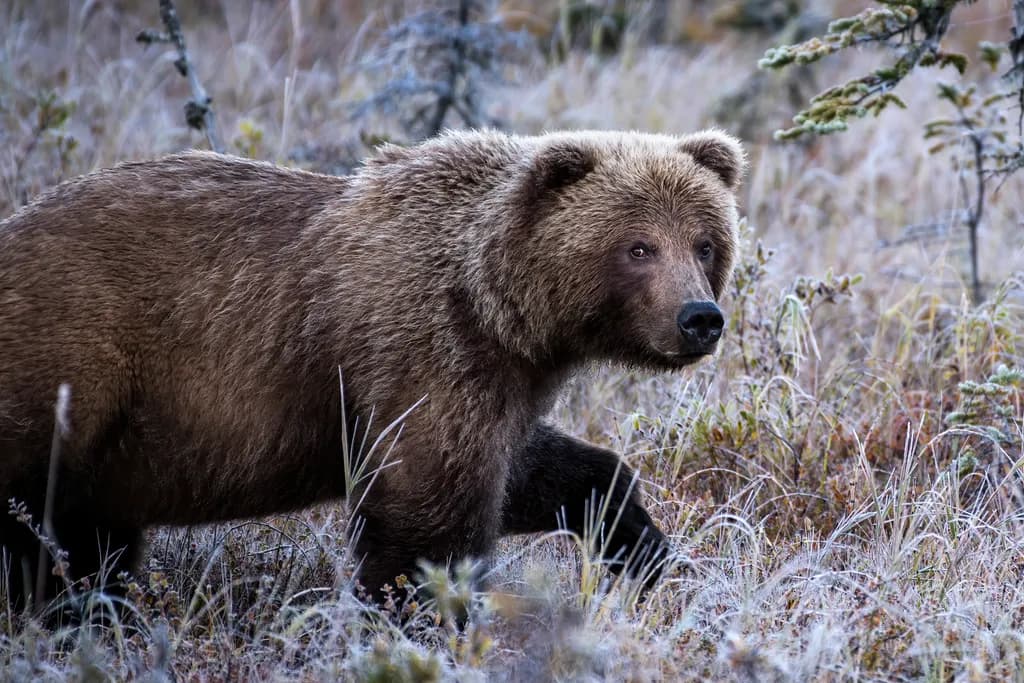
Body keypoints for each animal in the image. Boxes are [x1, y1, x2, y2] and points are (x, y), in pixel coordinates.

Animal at [0, 128, 745, 612]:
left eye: (705, 243)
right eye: (639, 247)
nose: (699, 317)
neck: (494, 302)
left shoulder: (489, 382)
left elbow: (528, 470)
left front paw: (642, 546)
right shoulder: (418, 345)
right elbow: (426, 517)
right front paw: (422, 615)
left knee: (91, 541)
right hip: (74, 363)